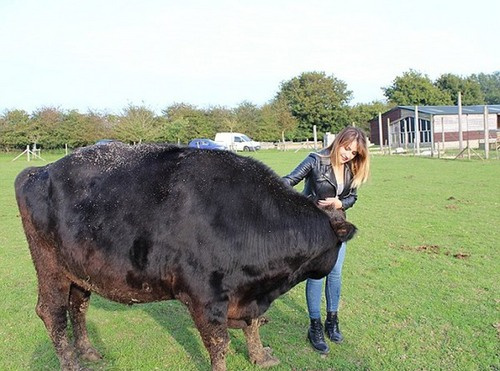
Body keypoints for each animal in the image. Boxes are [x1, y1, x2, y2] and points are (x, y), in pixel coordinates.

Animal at [14, 144, 356, 371]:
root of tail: (39, 171)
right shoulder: (206, 297)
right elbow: (219, 344)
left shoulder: (248, 296)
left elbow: (253, 326)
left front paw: (260, 357)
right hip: (50, 267)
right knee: (52, 312)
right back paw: (72, 363)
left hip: (80, 270)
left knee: (78, 306)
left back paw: (87, 351)